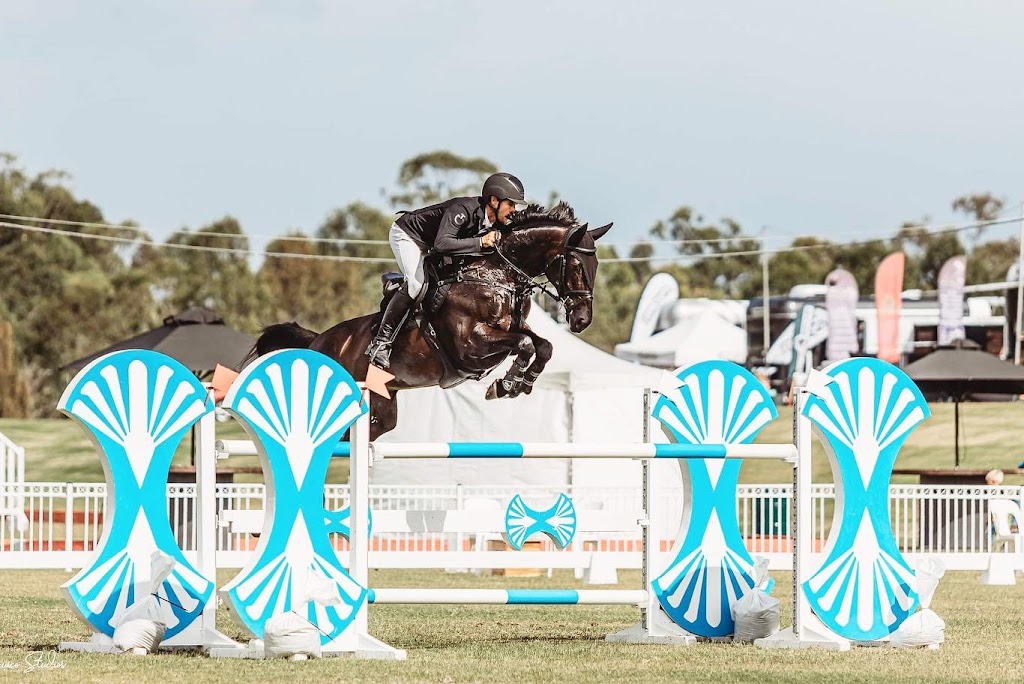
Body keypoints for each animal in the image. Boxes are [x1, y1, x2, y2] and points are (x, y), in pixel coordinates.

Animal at [244, 202, 612, 439]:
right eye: (576, 265)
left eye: (595, 266)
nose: (582, 320)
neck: (494, 274)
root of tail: (316, 341)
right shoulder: (471, 345)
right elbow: (524, 344)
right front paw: (506, 384)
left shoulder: (510, 331)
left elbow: (542, 345)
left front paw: (518, 384)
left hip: (381, 410)